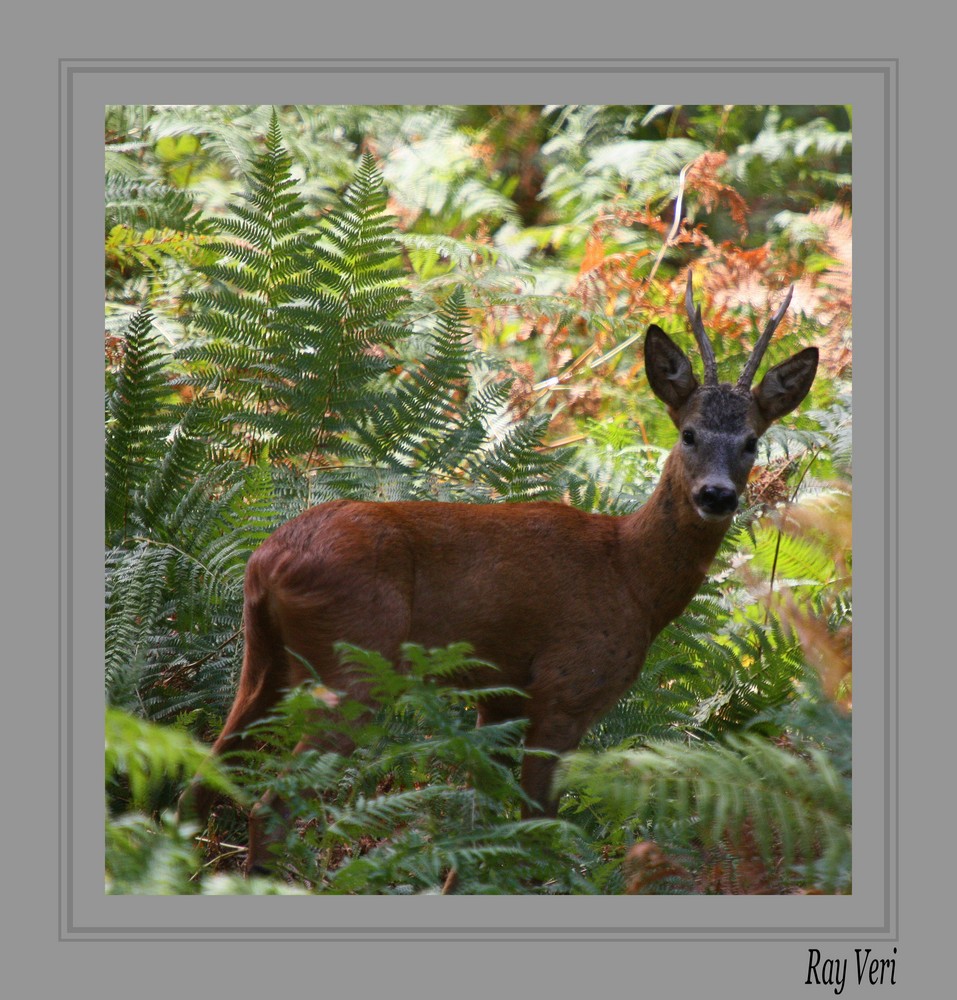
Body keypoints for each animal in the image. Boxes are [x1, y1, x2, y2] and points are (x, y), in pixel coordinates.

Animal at [177, 270, 816, 872]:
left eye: (752, 442)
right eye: (688, 432)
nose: (716, 495)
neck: (632, 577)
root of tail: (266, 560)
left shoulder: (499, 695)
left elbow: (479, 825)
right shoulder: (566, 686)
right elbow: (534, 830)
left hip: (265, 659)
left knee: (198, 783)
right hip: (353, 662)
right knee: (271, 802)